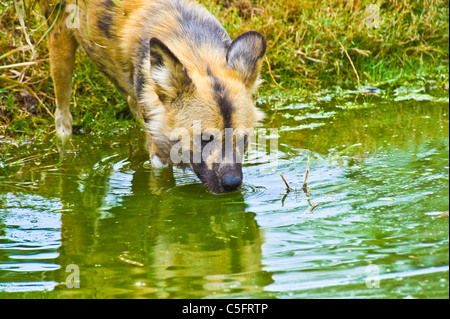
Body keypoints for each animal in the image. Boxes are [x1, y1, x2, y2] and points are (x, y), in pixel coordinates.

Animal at [39, 0, 268, 194]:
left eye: (244, 139)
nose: (232, 183)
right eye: (204, 139)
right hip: (60, 44)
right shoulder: (159, 160)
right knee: (62, 115)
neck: (196, 51)